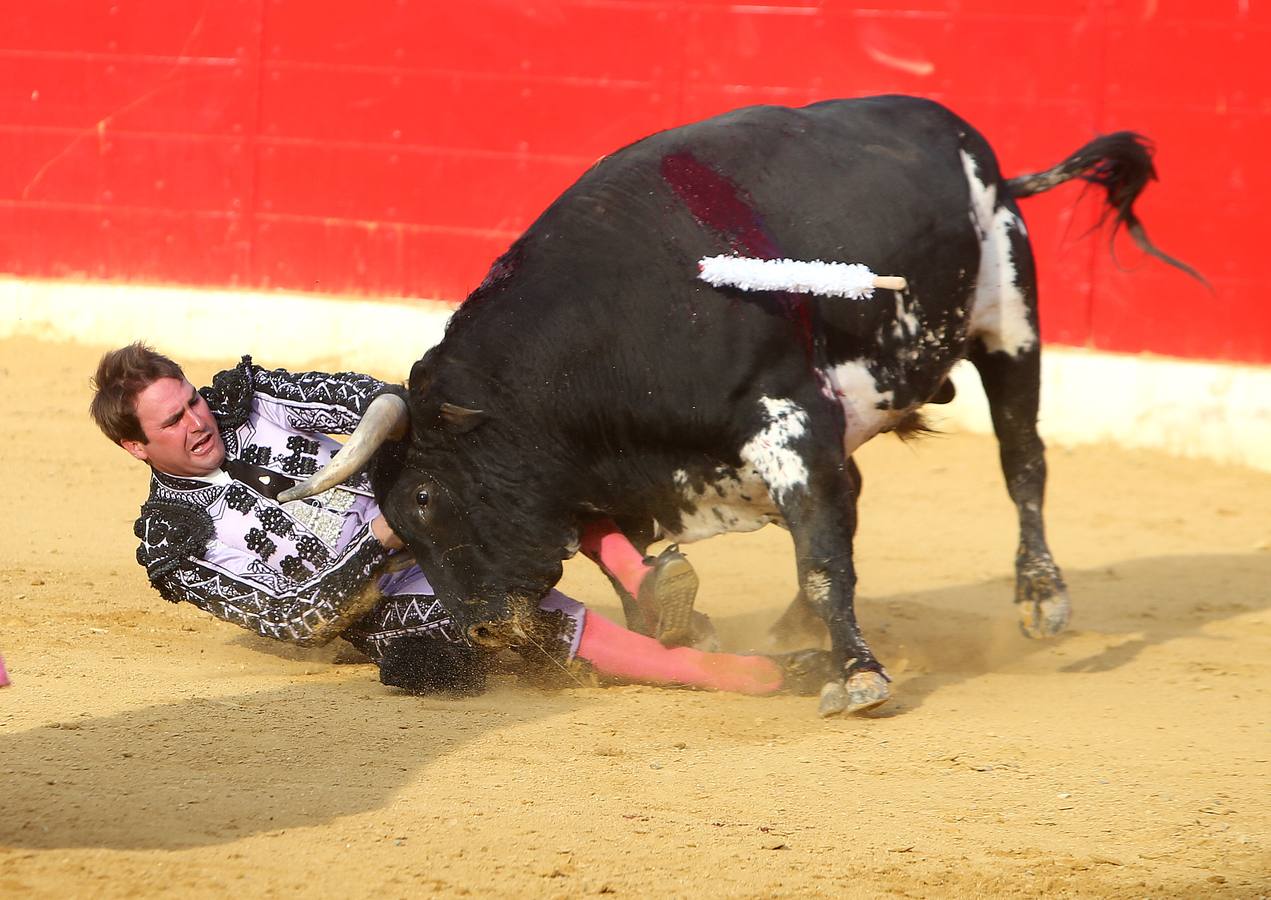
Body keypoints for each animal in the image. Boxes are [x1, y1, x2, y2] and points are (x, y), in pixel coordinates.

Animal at [294, 94, 1189, 716]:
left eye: (423, 497)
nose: (481, 628)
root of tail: (979, 152)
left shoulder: (792, 426)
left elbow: (824, 562)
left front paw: (858, 677)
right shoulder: (620, 470)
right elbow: (615, 545)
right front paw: (676, 613)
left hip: (1009, 318)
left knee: (1021, 460)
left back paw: (1041, 597)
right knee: (861, 498)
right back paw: (794, 631)